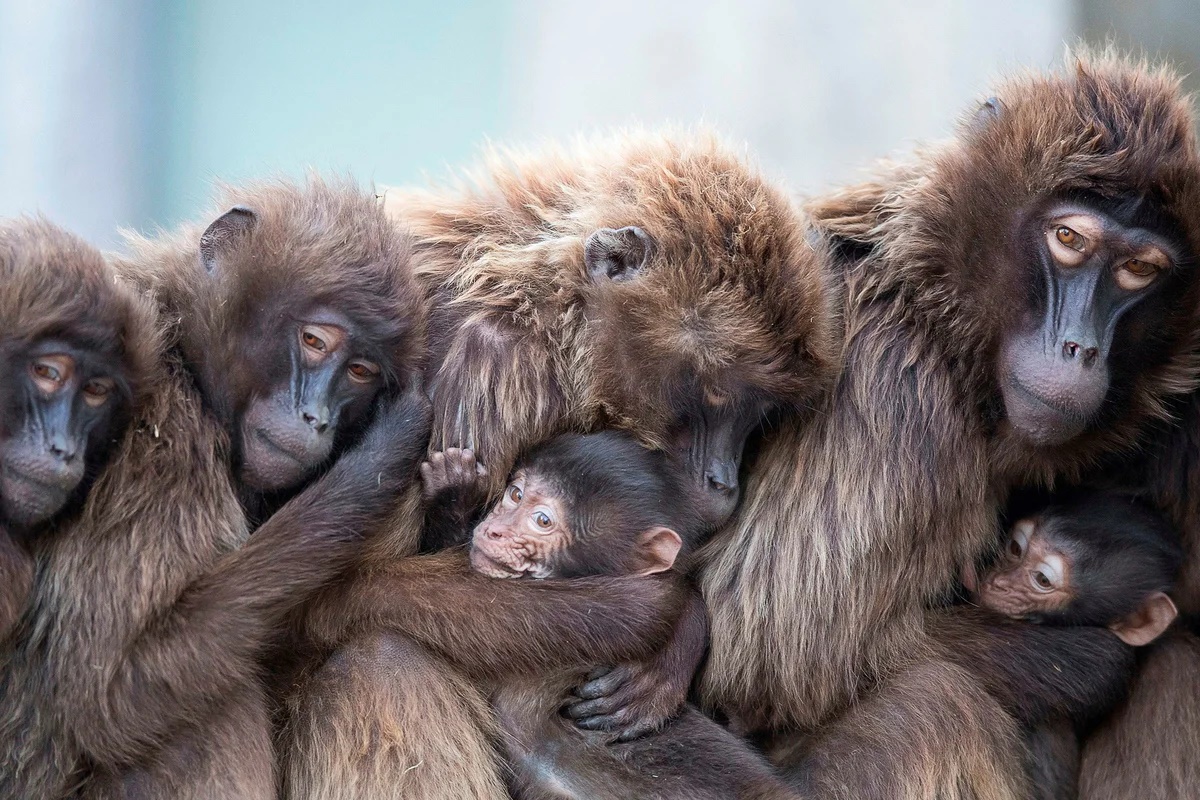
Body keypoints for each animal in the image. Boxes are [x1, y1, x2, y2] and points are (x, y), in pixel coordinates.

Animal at [0, 181, 432, 800]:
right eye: (314, 340)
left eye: (359, 371)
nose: (316, 418)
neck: (189, 359)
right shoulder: (168, 439)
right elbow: (107, 693)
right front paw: (386, 450)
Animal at [284, 131, 840, 800]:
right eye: (714, 395)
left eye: (755, 411)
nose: (723, 480)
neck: (550, 314)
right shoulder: (486, 365)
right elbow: (332, 600)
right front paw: (675, 621)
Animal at [700, 53, 1200, 796]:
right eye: (1069, 240)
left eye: (1140, 269)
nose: (1078, 348)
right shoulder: (891, 381)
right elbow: (769, 663)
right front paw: (1086, 661)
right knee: (933, 705)